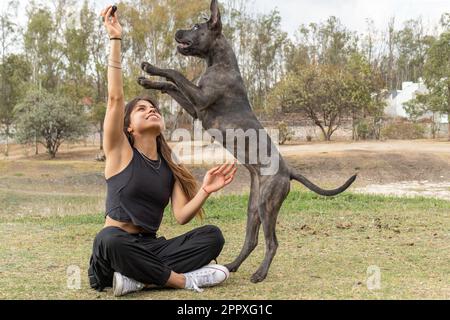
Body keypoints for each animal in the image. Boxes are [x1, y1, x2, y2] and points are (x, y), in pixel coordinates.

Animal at [139, 0, 356, 282]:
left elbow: (175, 73)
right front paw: (148, 80)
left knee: (272, 242)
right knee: (251, 240)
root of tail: (288, 170)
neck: (219, 63)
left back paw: (259, 274)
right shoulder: (195, 109)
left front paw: (151, 68)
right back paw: (232, 265)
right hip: (253, 207)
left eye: (196, 27)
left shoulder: (200, 99)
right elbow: (171, 86)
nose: (177, 31)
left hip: (267, 204)